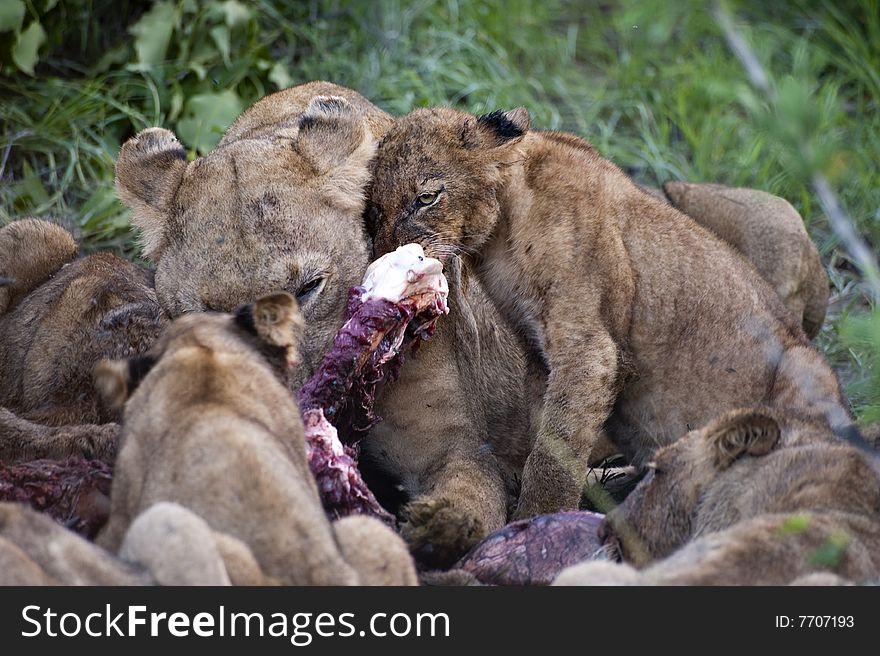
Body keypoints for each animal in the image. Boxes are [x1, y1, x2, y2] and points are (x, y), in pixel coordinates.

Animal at [368, 106, 856, 524]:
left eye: (426, 197)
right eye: (374, 210)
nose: (386, 256)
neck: (500, 231)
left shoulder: (589, 349)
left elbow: (554, 453)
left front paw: (533, 522)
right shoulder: (536, 349)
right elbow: (545, 435)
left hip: (804, 367)